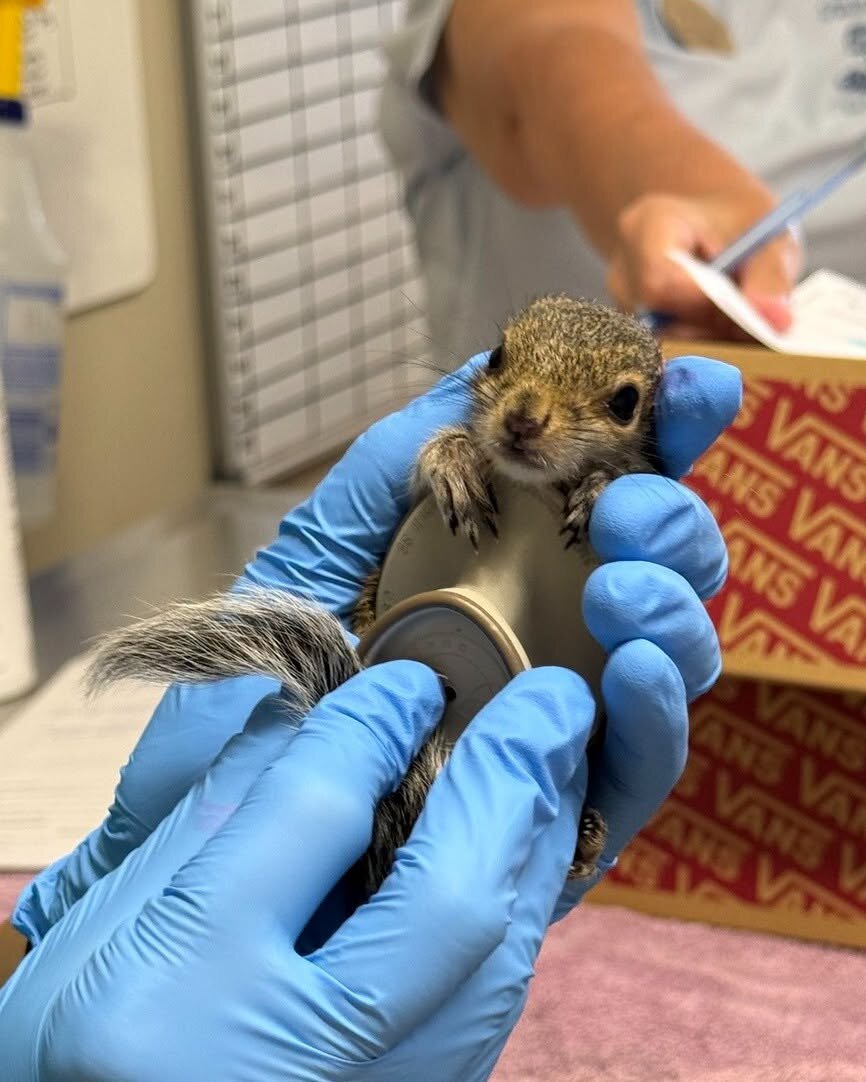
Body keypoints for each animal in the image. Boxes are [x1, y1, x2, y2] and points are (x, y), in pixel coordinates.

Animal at [87, 296, 663, 900]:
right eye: (497, 355)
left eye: (625, 402)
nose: (523, 419)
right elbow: (431, 469)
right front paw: (454, 461)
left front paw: (597, 489)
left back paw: (585, 838)